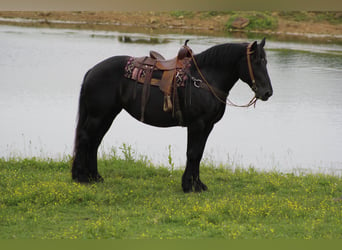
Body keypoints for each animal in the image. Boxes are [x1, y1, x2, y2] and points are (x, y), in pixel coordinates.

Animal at [71, 38, 272, 192]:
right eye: (257, 62)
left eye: (266, 62)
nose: (267, 92)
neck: (204, 79)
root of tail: (92, 71)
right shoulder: (197, 124)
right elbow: (192, 153)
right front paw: (189, 186)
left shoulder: (208, 126)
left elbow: (199, 153)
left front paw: (198, 185)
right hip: (98, 115)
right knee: (85, 139)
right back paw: (81, 177)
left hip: (107, 115)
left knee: (95, 142)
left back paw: (95, 176)